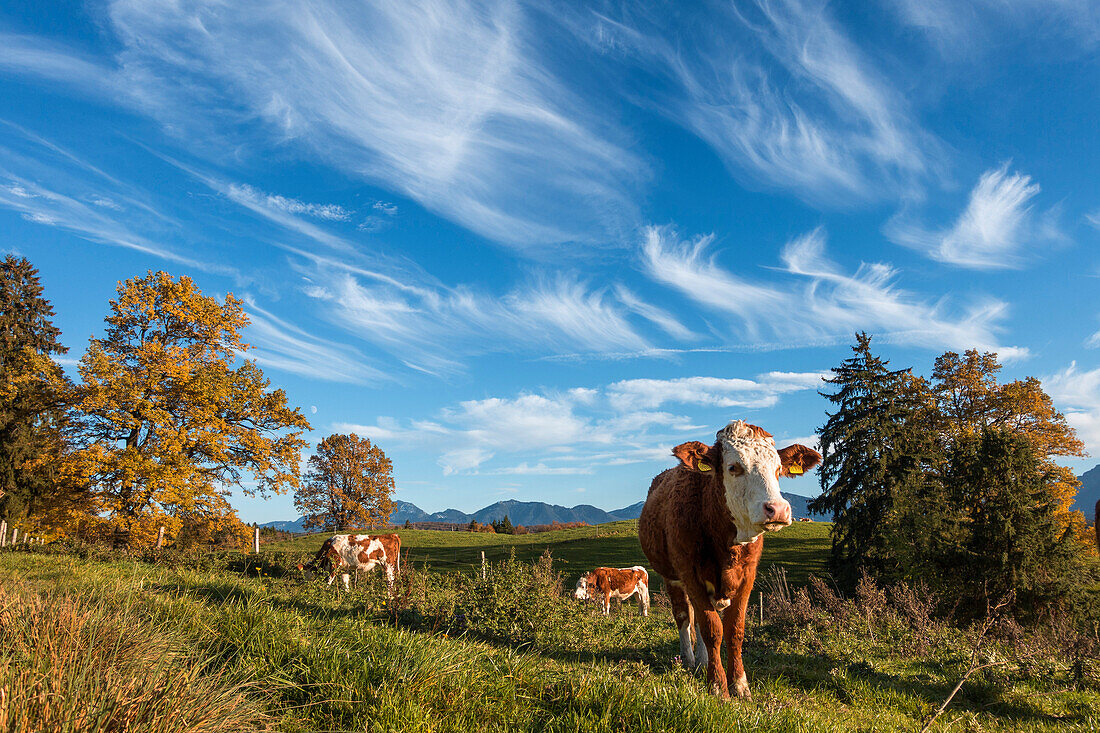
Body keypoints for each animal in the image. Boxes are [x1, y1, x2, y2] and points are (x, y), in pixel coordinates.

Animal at [638, 416, 818, 695]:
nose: (777, 509)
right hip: (672, 577)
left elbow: (734, 630)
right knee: (684, 616)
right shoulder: (690, 573)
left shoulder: (747, 576)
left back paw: (702, 661)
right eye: (734, 467)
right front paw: (717, 685)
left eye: (778, 469)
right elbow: (712, 628)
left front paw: (740, 684)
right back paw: (689, 659)